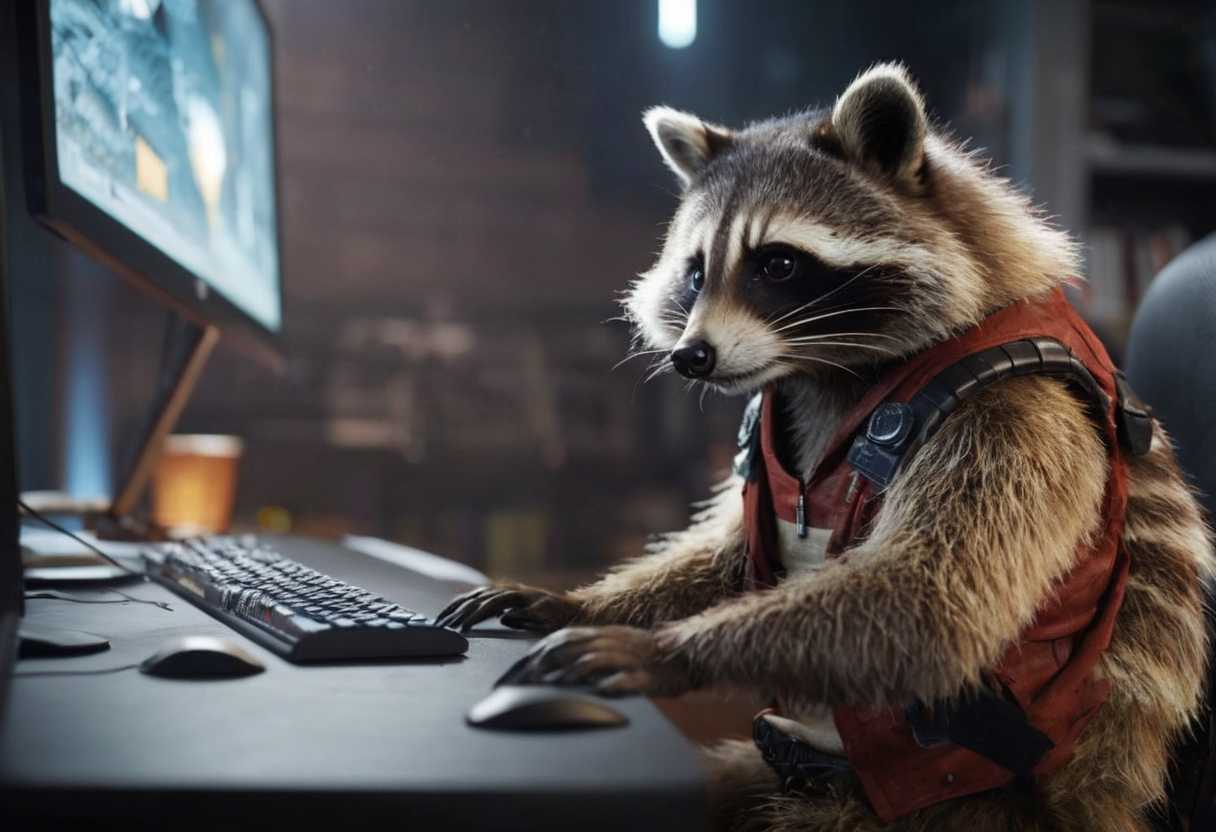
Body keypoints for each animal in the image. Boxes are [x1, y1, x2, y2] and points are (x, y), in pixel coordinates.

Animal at [438, 64, 1214, 831]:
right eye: (696, 271)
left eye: (777, 265)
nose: (692, 356)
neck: (829, 365)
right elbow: (730, 559)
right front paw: (581, 603)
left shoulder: (1013, 409)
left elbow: (932, 598)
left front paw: (666, 648)